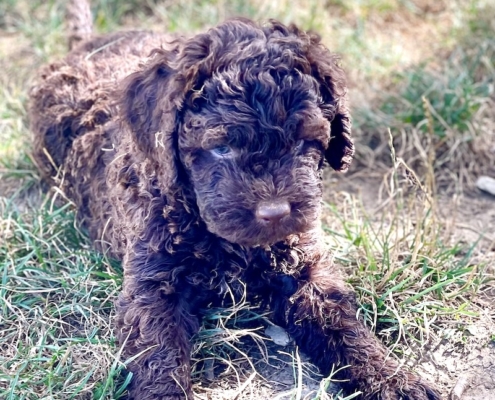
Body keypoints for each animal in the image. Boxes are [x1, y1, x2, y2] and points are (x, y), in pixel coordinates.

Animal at [30, 1, 442, 398]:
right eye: (222, 147)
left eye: (303, 142)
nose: (275, 212)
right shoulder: (152, 286)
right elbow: (159, 357)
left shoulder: (305, 269)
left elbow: (343, 327)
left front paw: (392, 380)